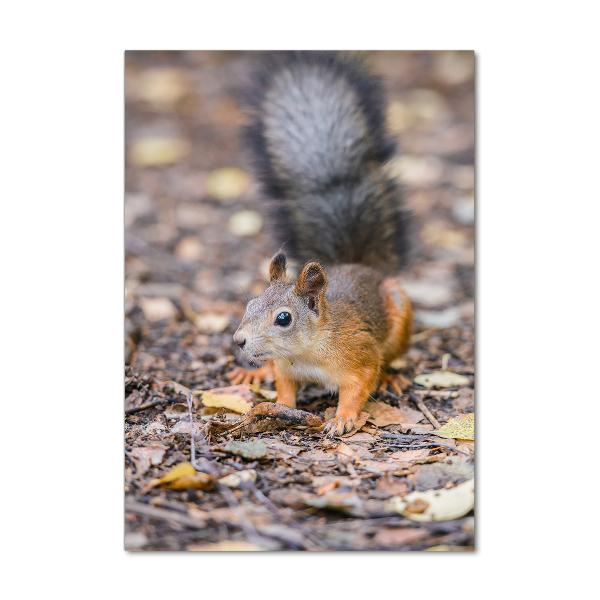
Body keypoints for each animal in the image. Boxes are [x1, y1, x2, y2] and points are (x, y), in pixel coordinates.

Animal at [225, 51, 412, 436]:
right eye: (250, 303)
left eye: (284, 319)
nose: (239, 341)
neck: (306, 352)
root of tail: (359, 265)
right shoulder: (285, 368)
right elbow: (284, 388)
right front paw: (278, 404)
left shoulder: (360, 356)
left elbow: (359, 387)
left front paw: (341, 418)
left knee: (390, 358)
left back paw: (391, 377)